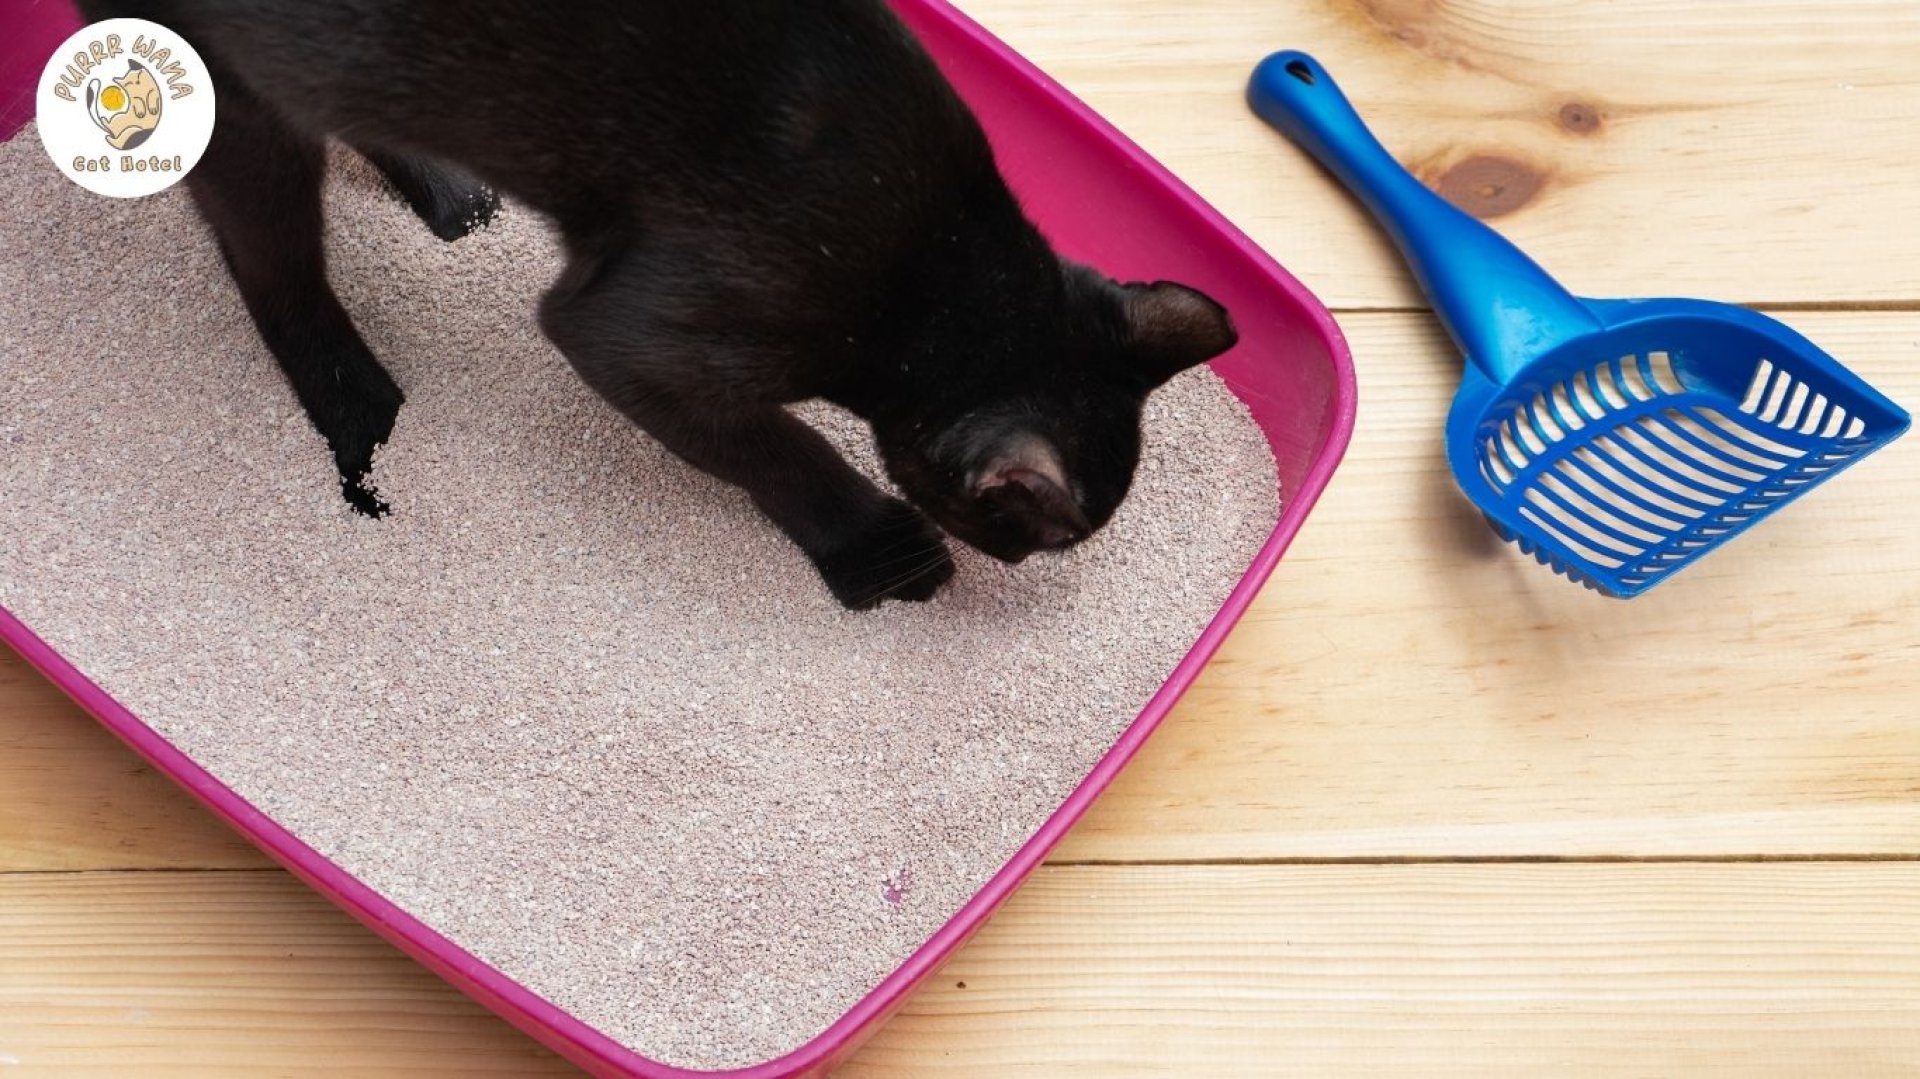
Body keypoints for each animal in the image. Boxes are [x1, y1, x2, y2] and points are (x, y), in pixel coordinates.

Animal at [77, 0, 1239, 608]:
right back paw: (360, 407)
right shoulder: (631, 339)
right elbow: (777, 447)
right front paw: (881, 549)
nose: (1009, 557)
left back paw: (446, 190)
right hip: (236, 93)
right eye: (1023, 531)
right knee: (276, 271)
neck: (938, 268)